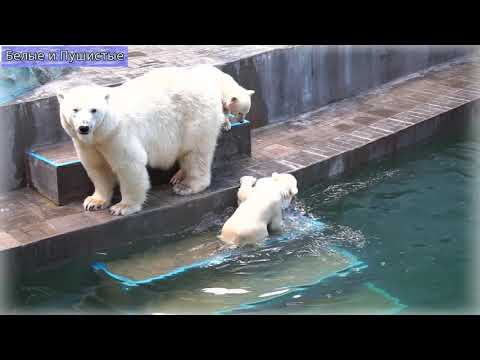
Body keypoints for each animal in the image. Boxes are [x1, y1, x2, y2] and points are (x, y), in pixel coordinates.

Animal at [57, 65, 226, 215]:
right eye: (75, 109)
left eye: (94, 110)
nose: (84, 127)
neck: (101, 133)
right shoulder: (87, 144)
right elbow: (97, 167)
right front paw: (94, 202)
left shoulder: (117, 134)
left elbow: (129, 164)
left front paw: (122, 207)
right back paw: (179, 176)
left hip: (194, 117)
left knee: (195, 152)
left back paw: (187, 185)